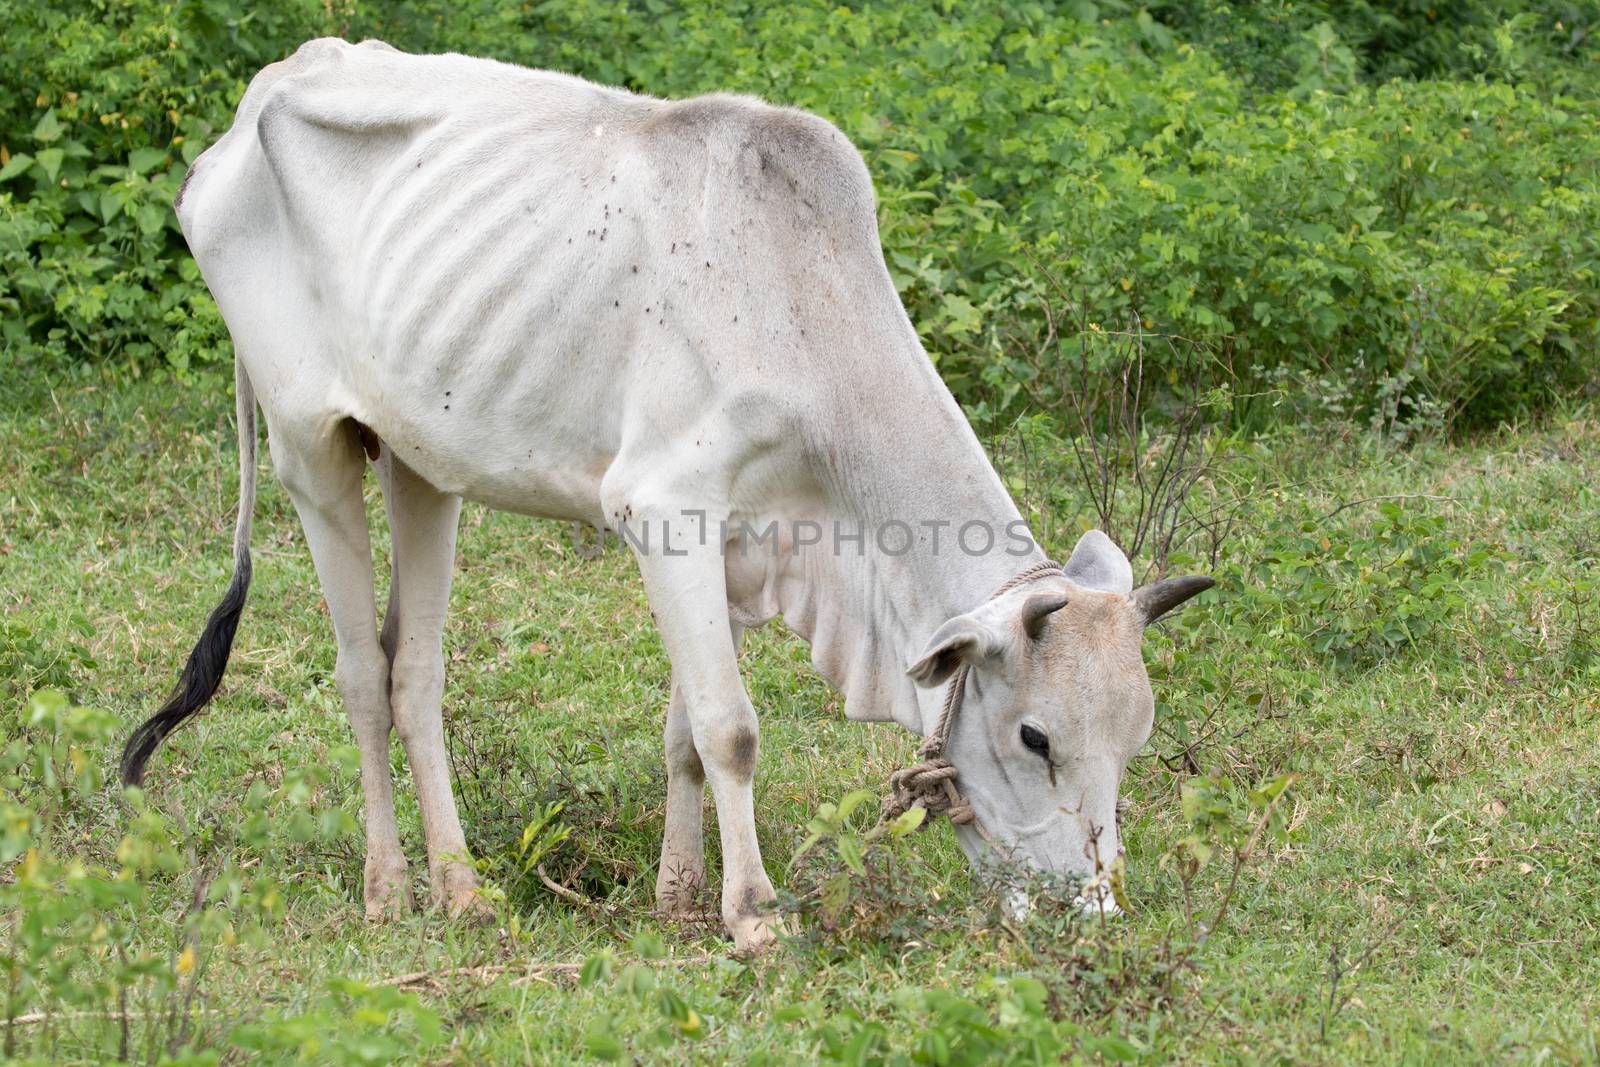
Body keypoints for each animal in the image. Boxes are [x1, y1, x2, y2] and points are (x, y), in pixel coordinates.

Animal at [124, 39, 1216, 953]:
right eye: (1036, 736)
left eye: (1137, 737)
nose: (1093, 914)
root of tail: (264, 95)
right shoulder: (665, 509)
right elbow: (733, 727)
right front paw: (754, 912)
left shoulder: (733, 543)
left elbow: (687, 732)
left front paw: (681, 896)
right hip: (309, 445)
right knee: (358, 673)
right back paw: (389, 888)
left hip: (420, 461)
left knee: (414, 673)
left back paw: (462, 886)